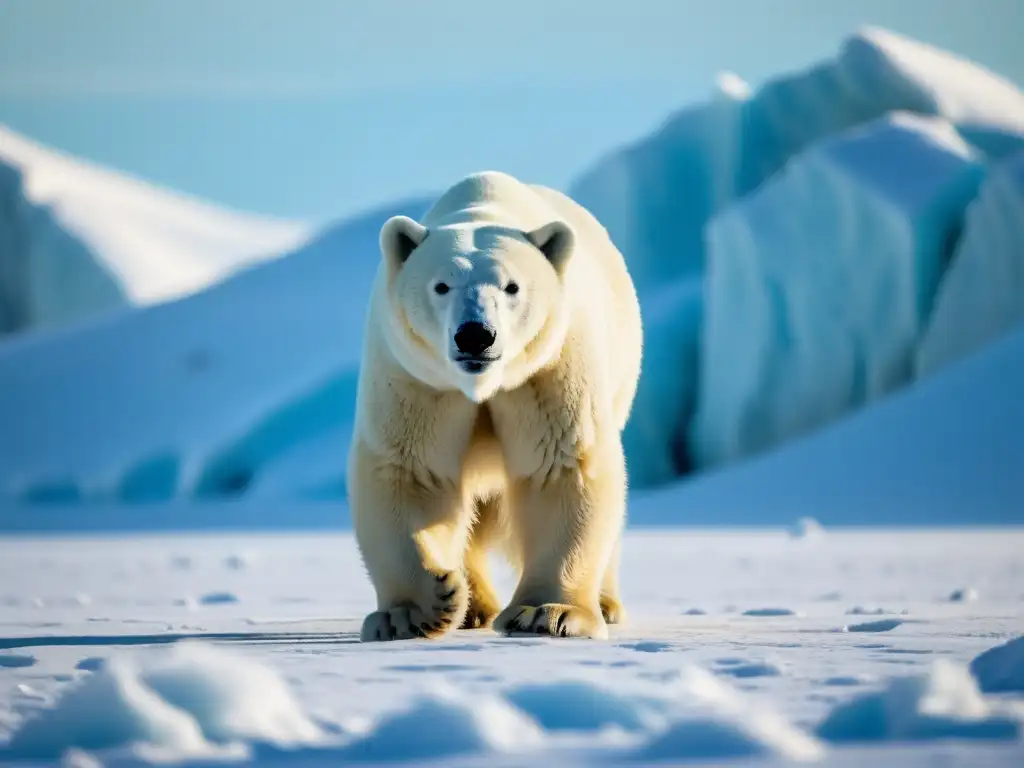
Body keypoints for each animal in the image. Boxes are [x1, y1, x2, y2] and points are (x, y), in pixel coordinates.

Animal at [350, 171, 638, 638]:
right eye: (441, 285)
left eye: (512, 286)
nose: (475, 335)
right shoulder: (417, 377)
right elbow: (411, 470)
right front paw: (415, 610)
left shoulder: (547, 369)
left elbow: (559, 465)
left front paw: (548, 613)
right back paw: (473, 606)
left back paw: (605, 603)